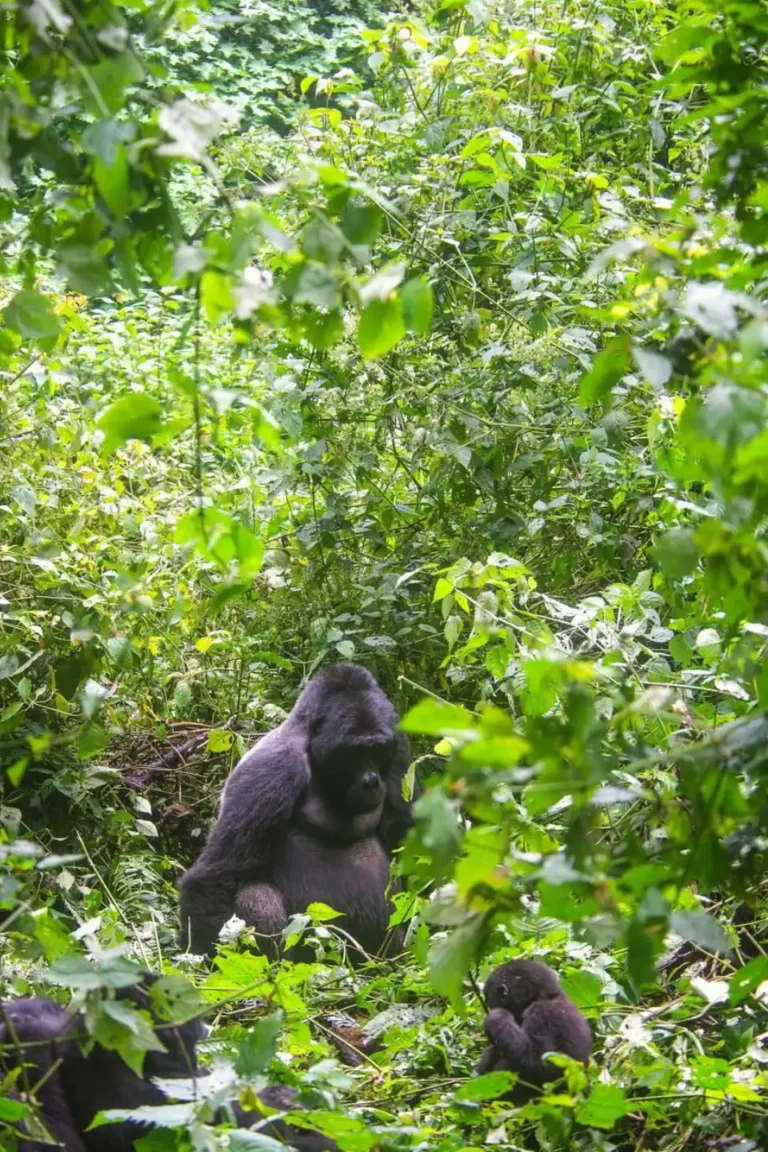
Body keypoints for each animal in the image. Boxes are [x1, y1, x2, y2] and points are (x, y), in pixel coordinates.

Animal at [178, 663, 414, 960]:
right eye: (354, 752)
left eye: (378, 749)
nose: (371, 782)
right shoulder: (274, 768)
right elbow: (215, 879)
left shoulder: (399, 745)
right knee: (254, 894)